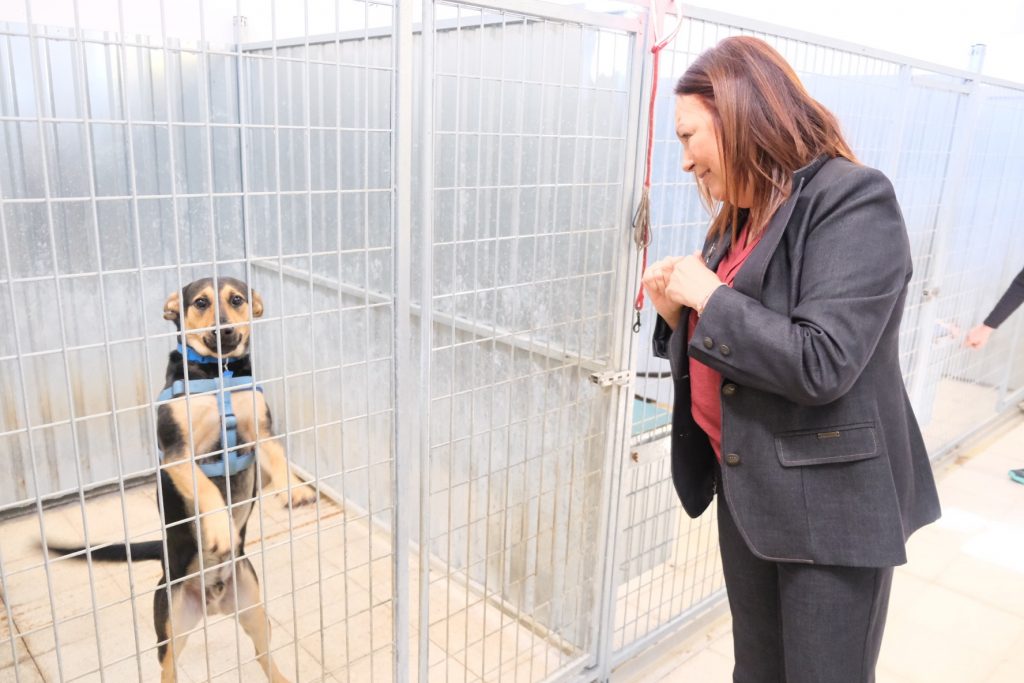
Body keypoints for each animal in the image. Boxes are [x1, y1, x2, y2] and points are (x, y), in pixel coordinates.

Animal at [47, 278, 315, 683]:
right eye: (201, 302)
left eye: (237, 299)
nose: (224, 331)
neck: (218, 376)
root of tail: (214, 601)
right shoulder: (179, 455)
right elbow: (207, 491)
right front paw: (219, 527)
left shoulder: (261, 433)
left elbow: (280, 459)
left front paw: (296, 491)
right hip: (170, 625)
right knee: (168, 667)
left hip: (254, 608)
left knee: (262, 654)